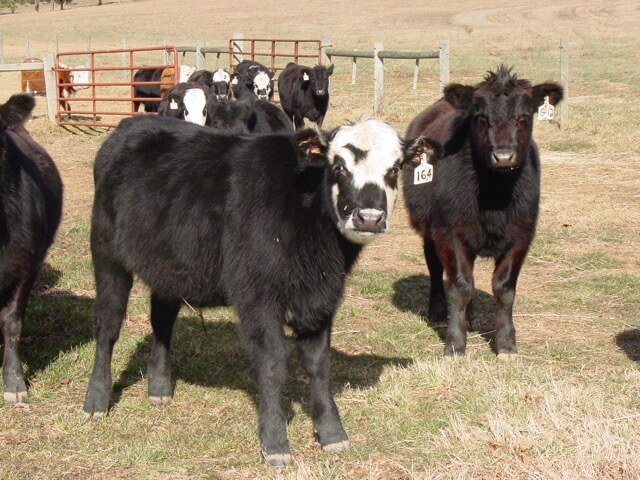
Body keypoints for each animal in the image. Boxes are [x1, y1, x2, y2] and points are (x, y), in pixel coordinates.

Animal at [82, 113, 402, 464]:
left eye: (395, 169)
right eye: (339, 167)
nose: (369, 218)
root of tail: (132, 124)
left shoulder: (321, 299)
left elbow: (319, 365)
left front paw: (333, 433)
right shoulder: (257, 297)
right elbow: (273, 364)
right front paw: (275, 442)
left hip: (170, 267)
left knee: (162, 321)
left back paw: (160, 388)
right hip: (106, 253)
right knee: (108, 325)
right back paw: (96, 400)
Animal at [404, 65, 560, 360]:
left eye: (524, 117)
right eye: (481, 118)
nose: (504, 157)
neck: (494, 195)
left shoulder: (521, 236)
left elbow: (504, 288)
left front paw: (507, 345)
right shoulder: (449, 234)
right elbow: (460, 286)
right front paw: (455, 344)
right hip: (430, 230)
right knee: (435, 267)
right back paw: (439, 312)